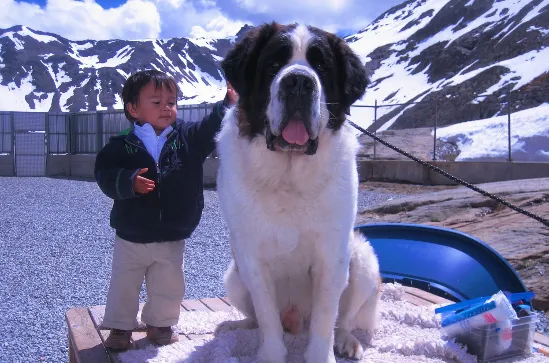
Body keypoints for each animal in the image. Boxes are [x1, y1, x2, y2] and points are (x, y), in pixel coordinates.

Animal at [214, 22, 382, 363]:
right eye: (274, 64)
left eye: (322, 67)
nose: (299, 82)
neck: (289, 175)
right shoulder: (251, 257)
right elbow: (267, 316)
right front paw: (270, 355)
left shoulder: (332, 255)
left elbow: (325, 317)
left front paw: (321, 355)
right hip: (233, 277)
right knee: (256, 317)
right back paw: (239, 327)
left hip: (363, 260)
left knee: (343, 319)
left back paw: (346, 341)